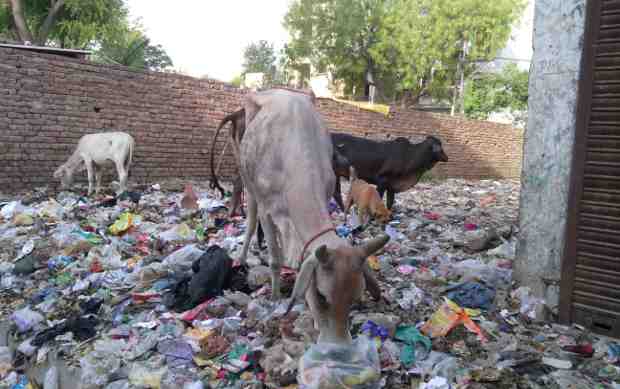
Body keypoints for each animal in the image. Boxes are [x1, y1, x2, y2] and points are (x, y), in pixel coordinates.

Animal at [236, 89, 388, 344]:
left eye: (355, 300)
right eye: (323, 295)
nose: (338, 342)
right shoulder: (268, 209)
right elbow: (275, 258)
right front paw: (275, 297)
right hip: (249, 184)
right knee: (250, 222)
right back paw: (242, 257)